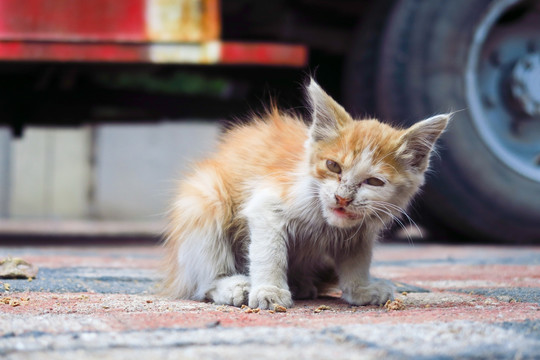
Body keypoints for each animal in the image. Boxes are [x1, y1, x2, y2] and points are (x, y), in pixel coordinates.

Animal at [162, 79, 450, 310]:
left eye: (374, 181)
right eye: (333, 166)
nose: (343, 197)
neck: (324, 220)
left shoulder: (361, 232)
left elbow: (357, 259)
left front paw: (361, 289)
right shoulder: (266, 205)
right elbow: (270, 253)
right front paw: (269, 290)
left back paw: (300, 284)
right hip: (206, 199)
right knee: (203, 283)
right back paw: (234, 287)